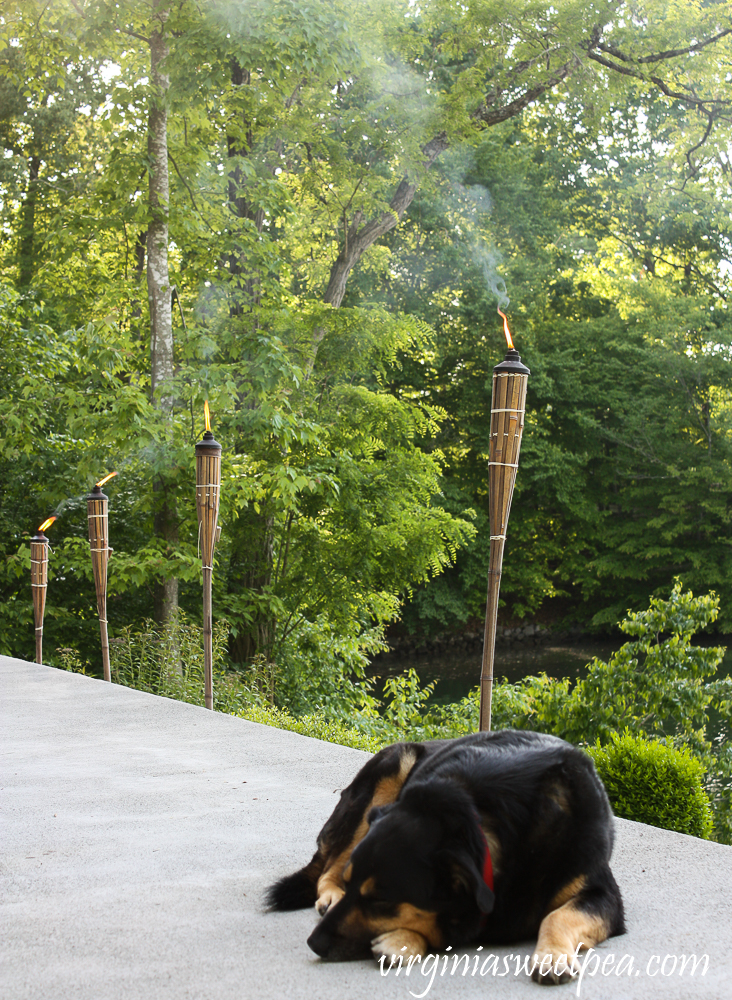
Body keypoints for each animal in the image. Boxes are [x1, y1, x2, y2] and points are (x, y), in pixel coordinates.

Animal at [266, 728, 628, 984]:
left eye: (381, 901)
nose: (314, 943)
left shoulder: (603, 895)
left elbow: (558, 916)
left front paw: (552, 956)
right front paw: (403, 938)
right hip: (392, 765)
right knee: (329, 865)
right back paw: (330, 894)